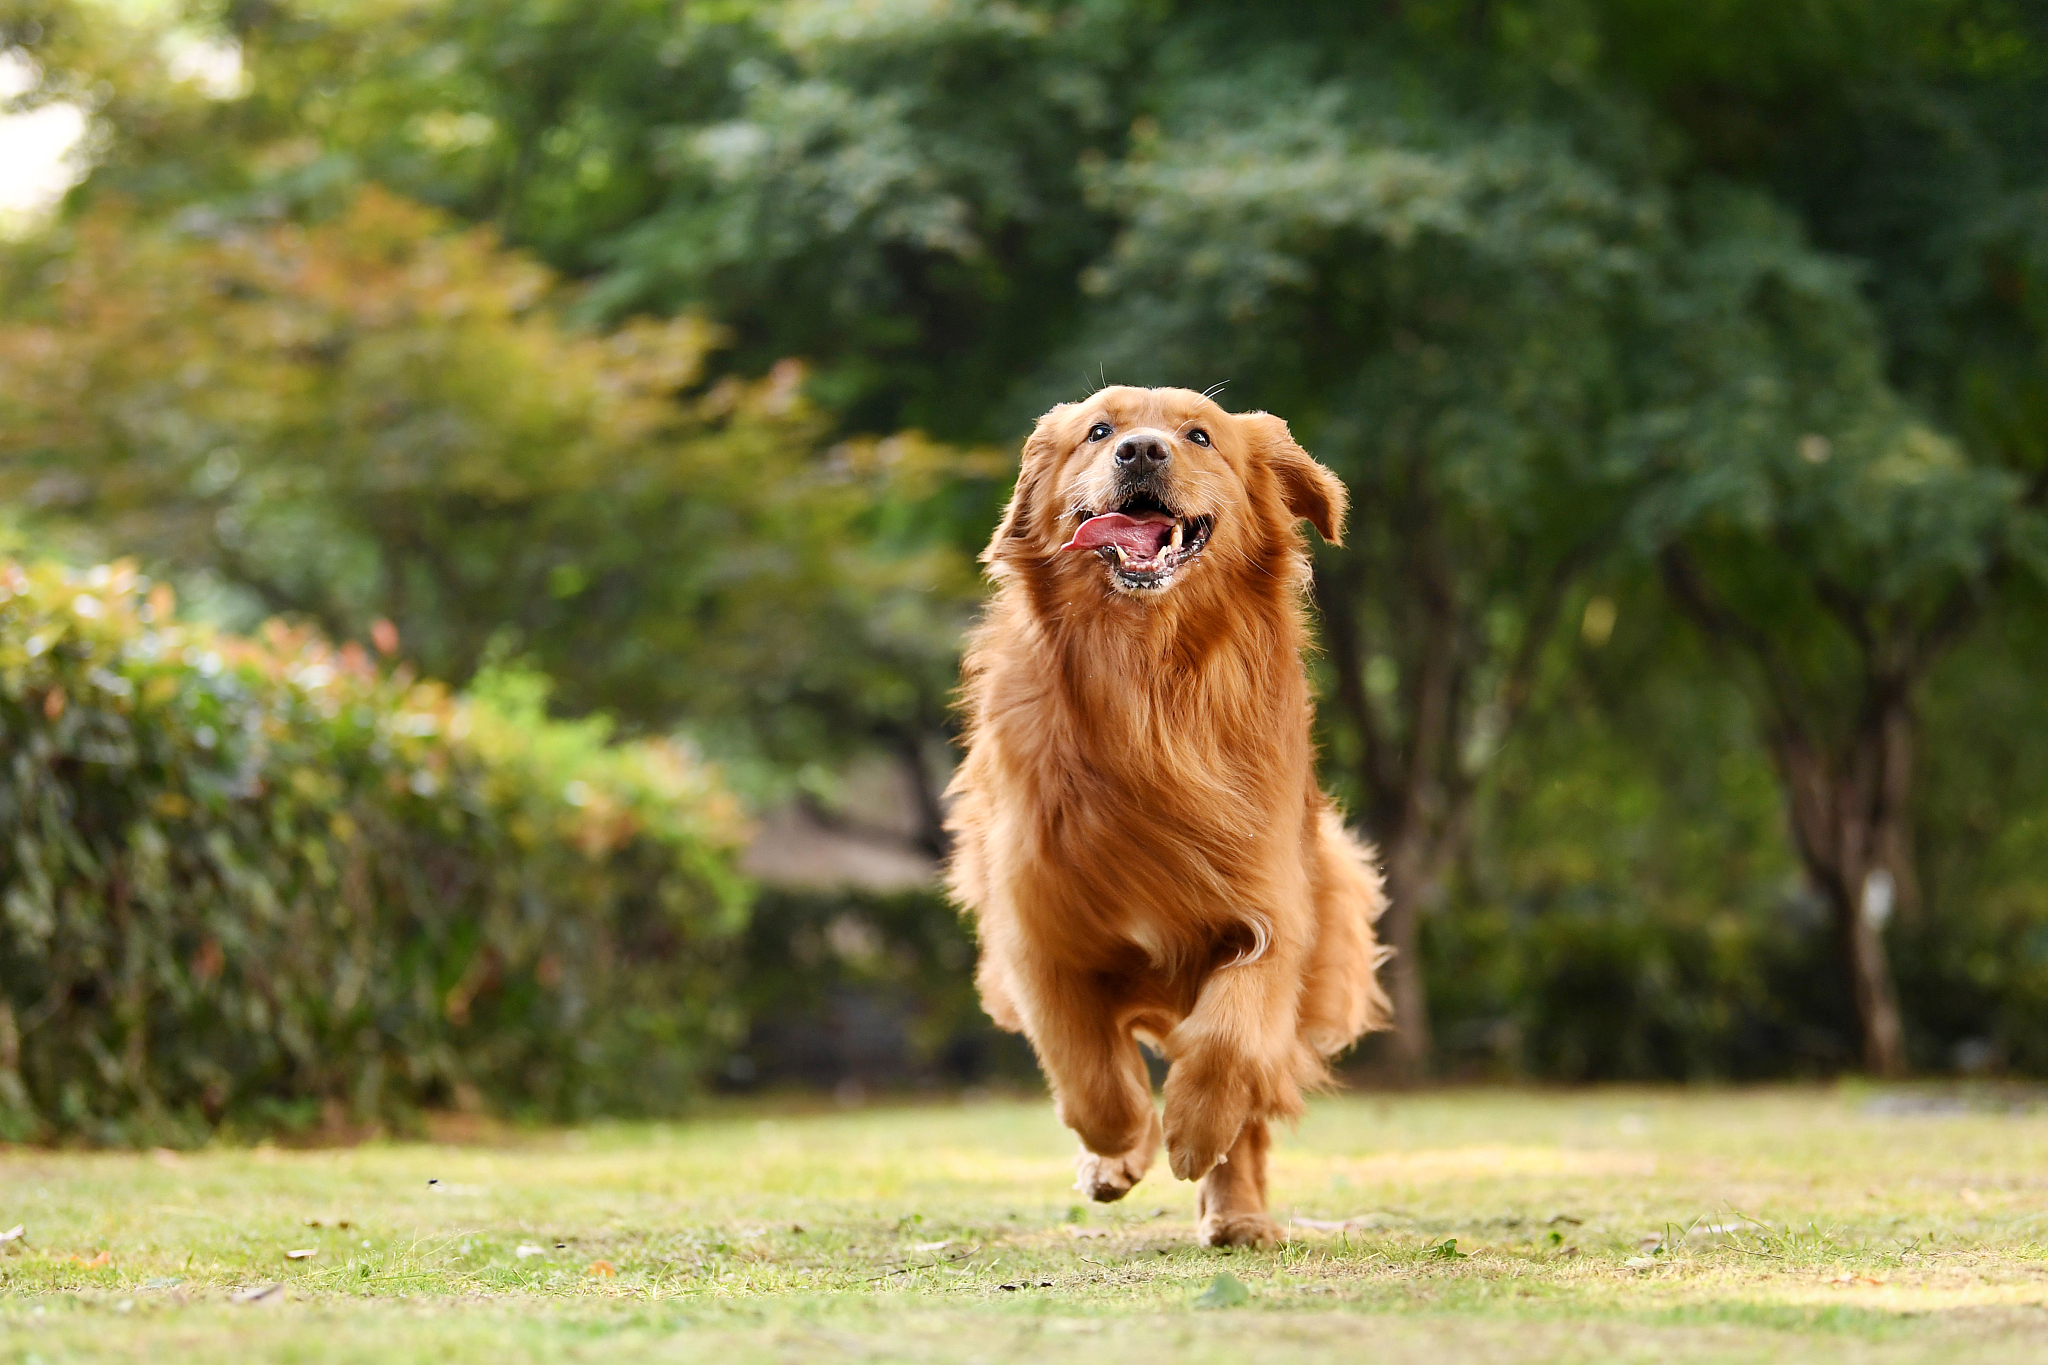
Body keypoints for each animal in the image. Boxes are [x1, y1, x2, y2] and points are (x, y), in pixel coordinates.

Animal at [946, 384, 1392, 1252]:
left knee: (1250, 1092)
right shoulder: (1037, 929)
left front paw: (1191, 1126)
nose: (1142, 451)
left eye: (1199, 435)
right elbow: (1089, 1073)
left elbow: (1232, 1038)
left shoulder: (1272, 910)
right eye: (1098, 430)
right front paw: (1123, 1144)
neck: (1143, 679)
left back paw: (1238, 1208)